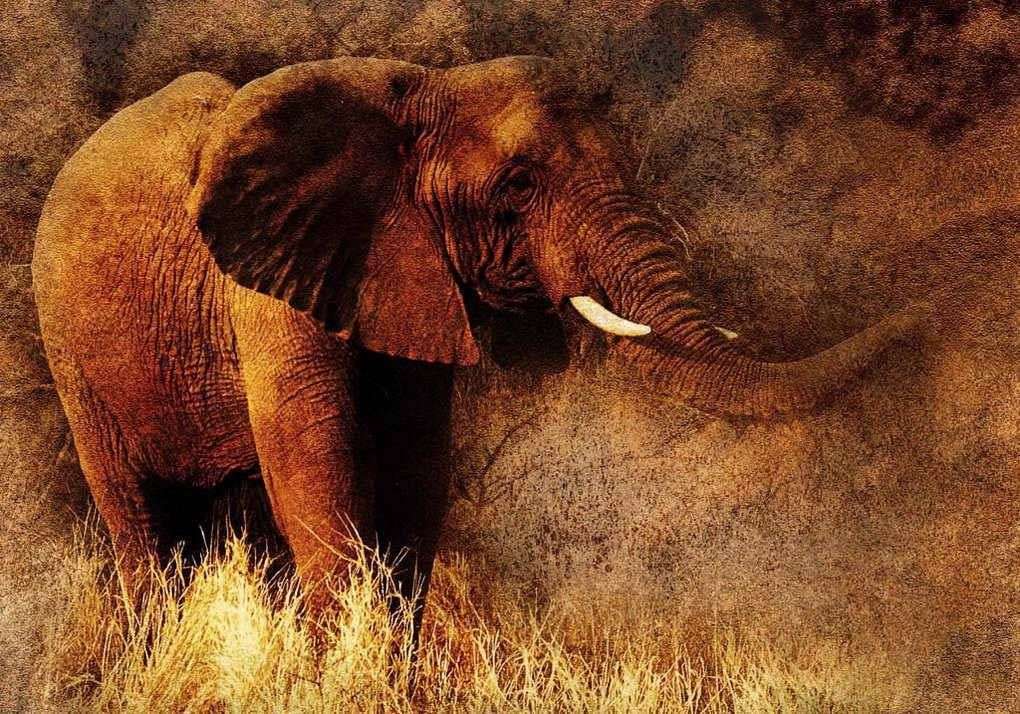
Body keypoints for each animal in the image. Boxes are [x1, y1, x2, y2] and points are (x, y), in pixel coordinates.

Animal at [32, 56, 916, 624]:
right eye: (518, 185)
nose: (925, 307)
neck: (419, 88)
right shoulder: (265, 278)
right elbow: (318, 455)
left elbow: (415, 463)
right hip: (67, 345)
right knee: (142, 520)